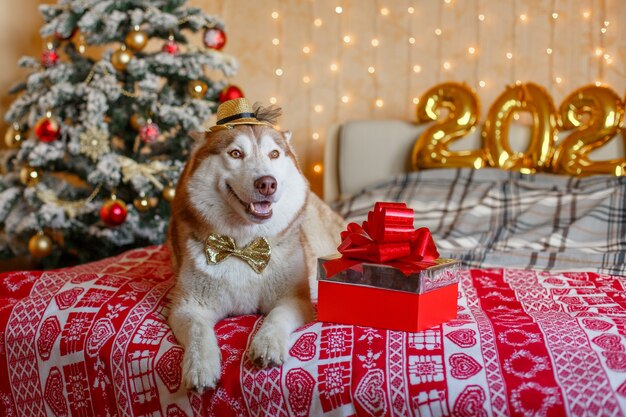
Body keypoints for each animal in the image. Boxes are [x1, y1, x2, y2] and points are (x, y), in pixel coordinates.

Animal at [166, 97, 342, 390]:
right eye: (236, 153)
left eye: (274, 154)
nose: (267, 183)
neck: (242, 246)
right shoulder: (186, 306)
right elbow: (198, 331)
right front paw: (200, 365)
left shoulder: (294, 298)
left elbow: (276, 317)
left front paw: (267, 343)